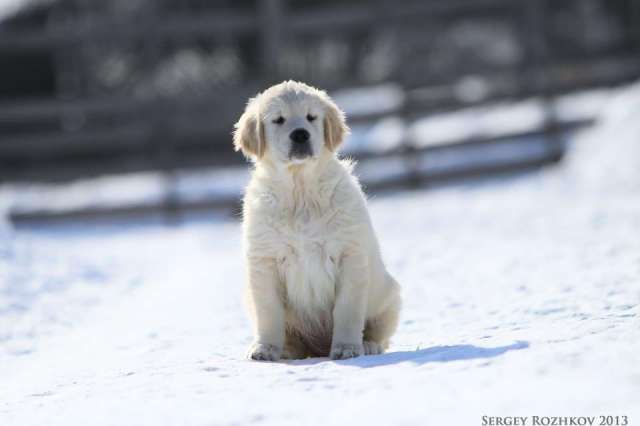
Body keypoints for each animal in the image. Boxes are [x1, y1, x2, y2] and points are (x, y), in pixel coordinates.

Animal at [235, 80, 400, 360]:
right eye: (278, 120)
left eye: (311, 117)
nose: (300, 134)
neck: (300, 190)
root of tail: (318, 348)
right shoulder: (265, 260)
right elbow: (268, 312)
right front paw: (265, 348)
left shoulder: (349, 255)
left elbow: (347, 310)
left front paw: (346, 348)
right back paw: (287, 350)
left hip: (389, 295)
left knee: (380, 333)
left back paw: (368, 345)